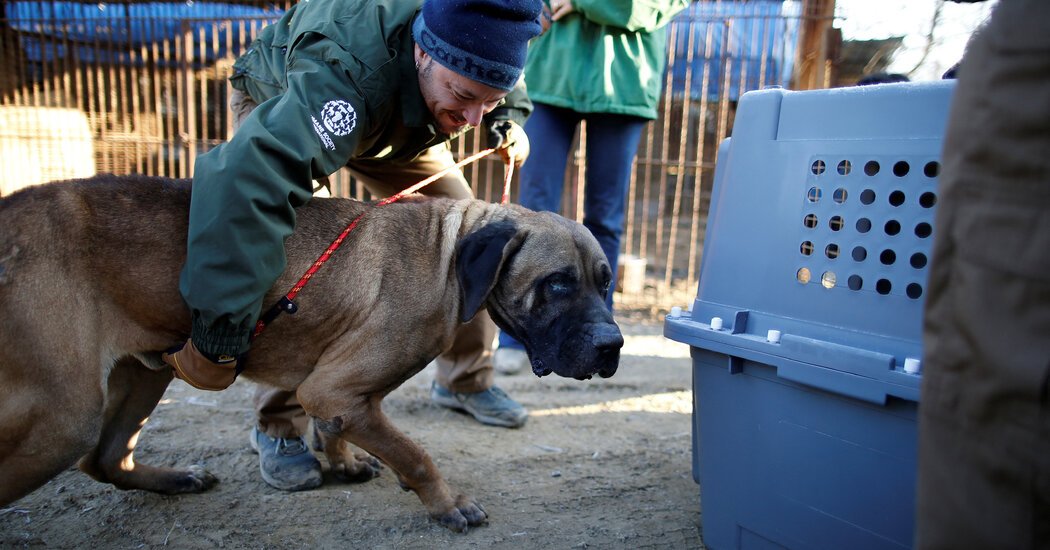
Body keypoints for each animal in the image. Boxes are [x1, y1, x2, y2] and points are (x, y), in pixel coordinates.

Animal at [0, 174, 621, 531]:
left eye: (606, 281)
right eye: (557, 284)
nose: (613, 345)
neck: (447, 255)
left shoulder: (340, 393)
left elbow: (341, 430)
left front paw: (344, 462)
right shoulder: (334, 389)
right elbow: (416, 453)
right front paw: (446, 504)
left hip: (144, 374)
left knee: (106, 461)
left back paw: (175, 479)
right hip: (63, 417)